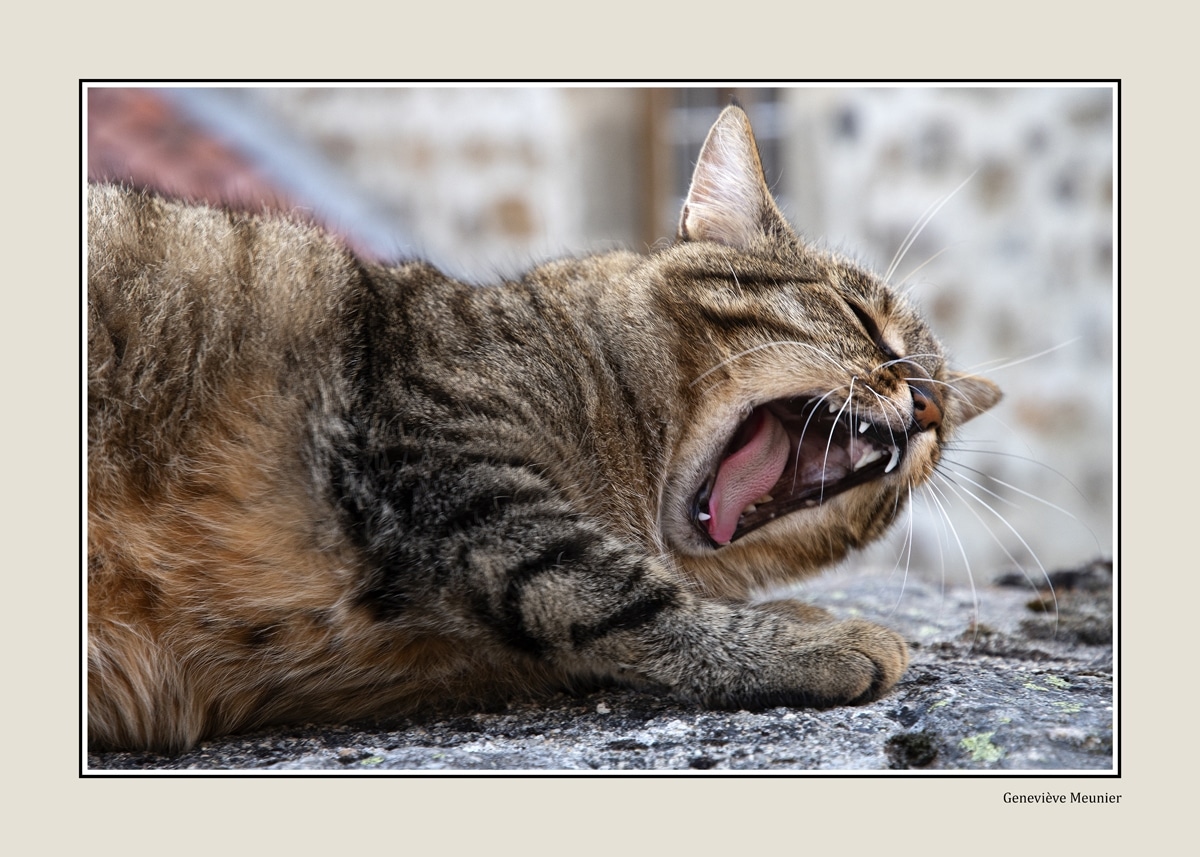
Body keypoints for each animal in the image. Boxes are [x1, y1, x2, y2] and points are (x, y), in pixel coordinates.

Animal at [87, 105, 1001, 753]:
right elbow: (626, 593)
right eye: (862, 318)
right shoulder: (443, 457)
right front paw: (815, 640)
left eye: (944, 413)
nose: (926, 402)